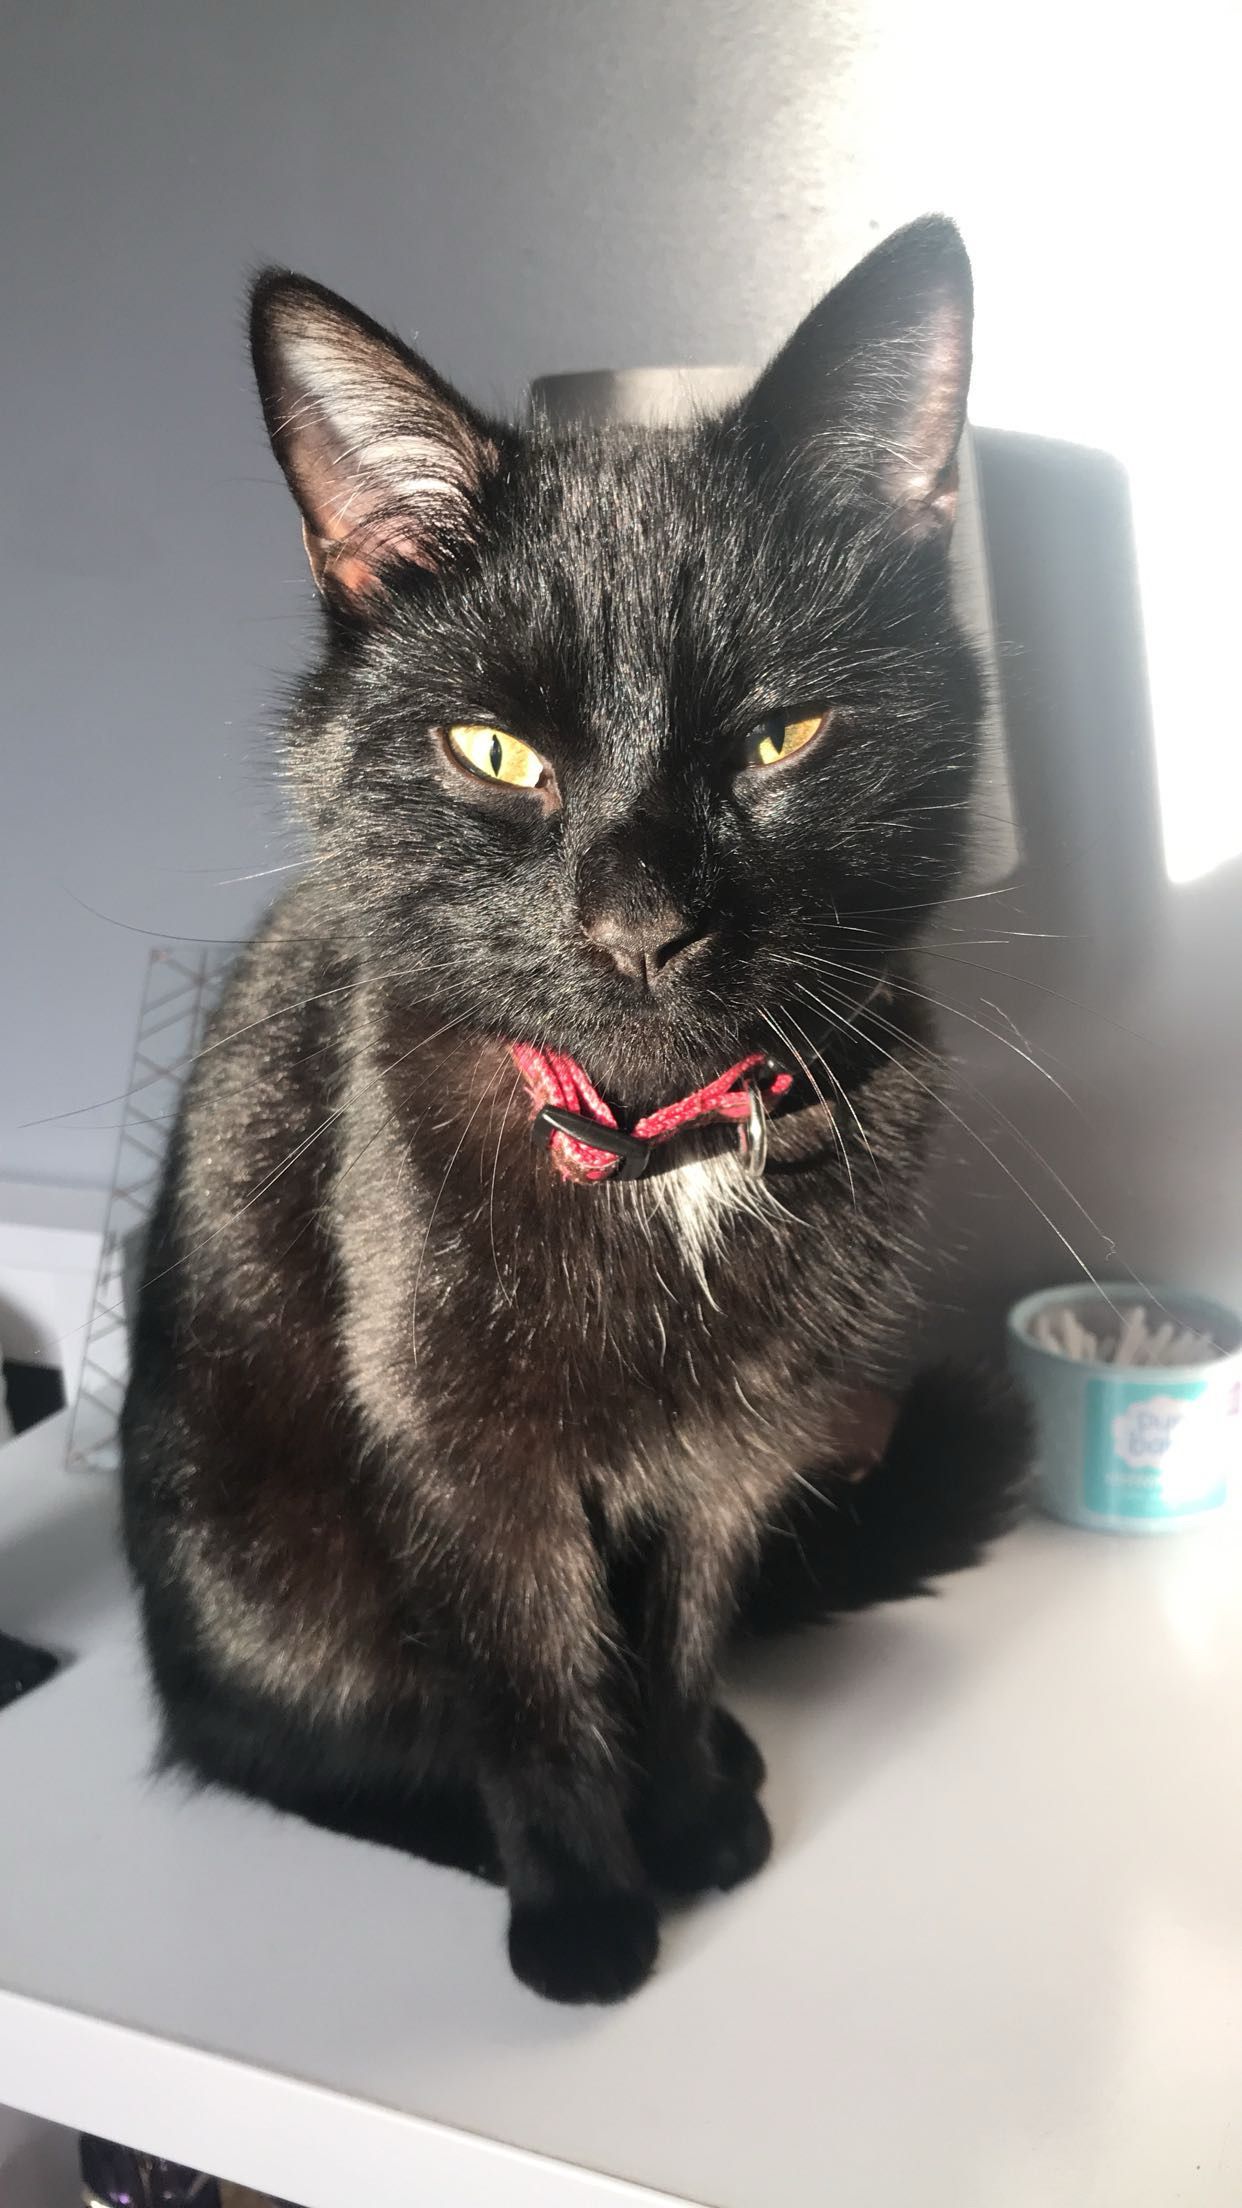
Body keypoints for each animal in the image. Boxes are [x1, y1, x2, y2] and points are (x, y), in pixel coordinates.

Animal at [121, 216, 1030, 2006]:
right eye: (493, 750)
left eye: (781, 737)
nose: (637, 924)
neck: (654, 1151)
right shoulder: (456, 1455)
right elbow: (531, 1692)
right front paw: (587, 1915)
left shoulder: (739, 1437)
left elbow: (670, 1644)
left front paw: (689, 1819)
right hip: (259, 1573)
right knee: (287, 1748)